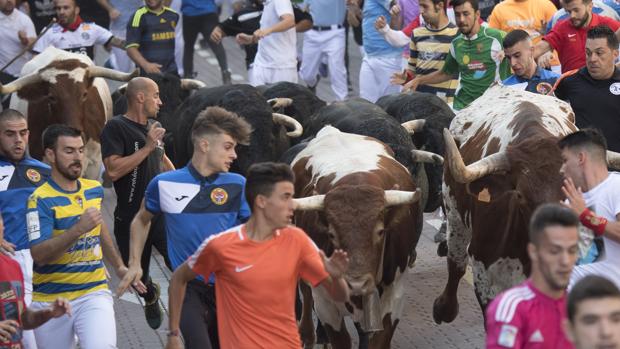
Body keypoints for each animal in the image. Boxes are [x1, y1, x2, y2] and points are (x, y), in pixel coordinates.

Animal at [294, 125, 424, 348]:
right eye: (331, 234)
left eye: (380, 231)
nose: (356, 284)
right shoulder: (326, 304)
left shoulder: (394, 297)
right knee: (306, 291)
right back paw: (309, 334)